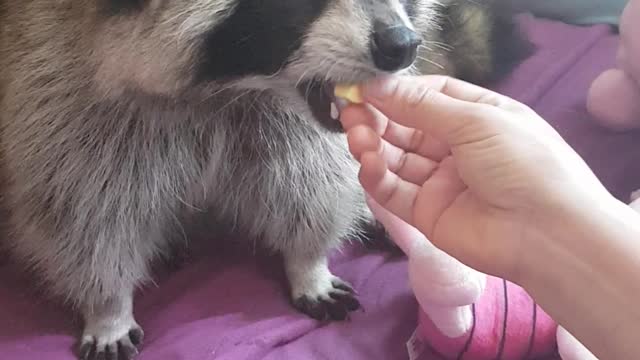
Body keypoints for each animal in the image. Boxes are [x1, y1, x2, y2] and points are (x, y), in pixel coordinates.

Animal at [0, 0, 528, 360]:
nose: (401, 45)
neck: (228, 91)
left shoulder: (288, 122)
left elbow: (309, 181)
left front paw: (307, 262)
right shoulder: (58, 88)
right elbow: (82, 211)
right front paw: (107, 304)